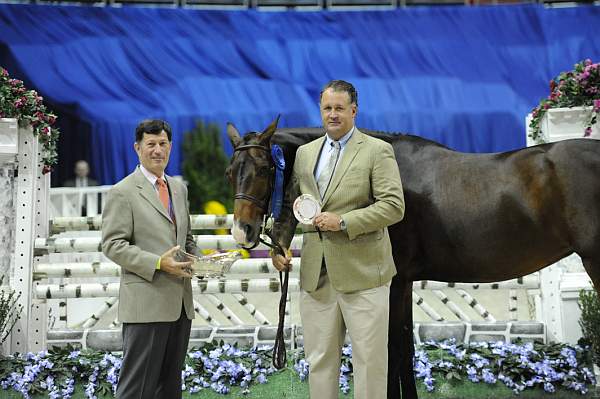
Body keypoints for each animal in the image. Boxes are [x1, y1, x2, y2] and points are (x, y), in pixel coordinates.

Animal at [225, 119, 600, 399]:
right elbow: (404, 349)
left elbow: (390, 350)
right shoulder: (402, 282)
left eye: (264, 168)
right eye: (231, 172)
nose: (243, 231)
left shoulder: (388, 282)